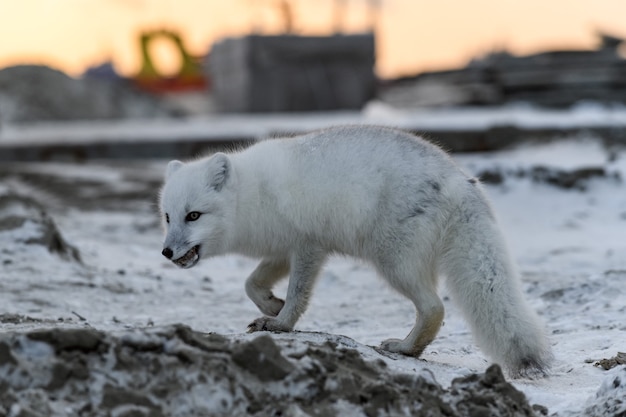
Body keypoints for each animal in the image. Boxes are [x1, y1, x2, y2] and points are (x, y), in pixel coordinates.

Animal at [161, 124, 552, 376]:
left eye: (193, 215)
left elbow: (298, 294)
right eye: (167, 217)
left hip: (393, 262)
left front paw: (282, 322)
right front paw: (271, 306)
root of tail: (458, 178)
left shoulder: (309, 245)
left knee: (434, 308)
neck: (251, 196)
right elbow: (251, 283)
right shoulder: (284, 248)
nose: (166, 252)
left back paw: (405, 348)